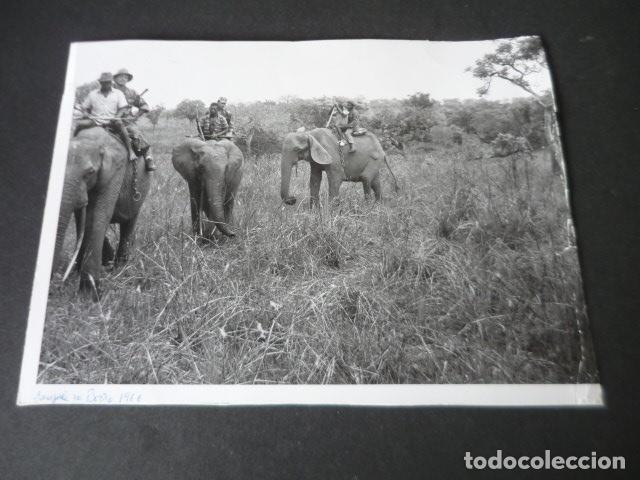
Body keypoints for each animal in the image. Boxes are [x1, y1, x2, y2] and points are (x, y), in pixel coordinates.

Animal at [54, 127, 151, 297]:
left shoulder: (114, 172)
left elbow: (97, 216)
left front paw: (90, 294)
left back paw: (120, 268)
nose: (56, 286)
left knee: (129, 223)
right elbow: (84, 219)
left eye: (90, 172)